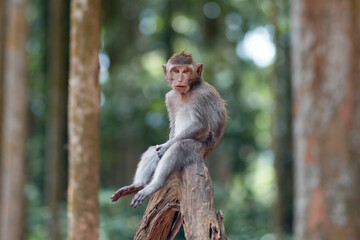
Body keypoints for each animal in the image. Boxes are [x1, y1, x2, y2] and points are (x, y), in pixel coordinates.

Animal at [110, 49, 228, 207]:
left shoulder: (200, 97)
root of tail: (206, 153)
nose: (180, 79)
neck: (187, 92)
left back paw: (155, 183)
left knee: (179, 147)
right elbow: (172, 126)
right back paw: (137, 185)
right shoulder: (171, 97)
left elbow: (201, 126)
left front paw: (166, 147)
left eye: (186, 71)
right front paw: (163, 147)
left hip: (198, 150)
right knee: (154, 150)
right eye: (176, 70)